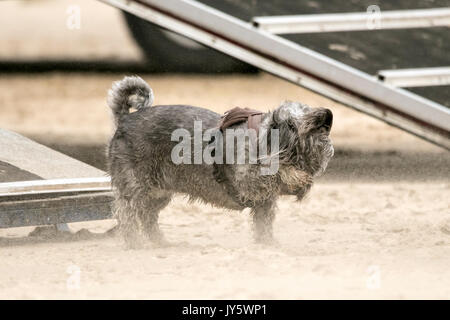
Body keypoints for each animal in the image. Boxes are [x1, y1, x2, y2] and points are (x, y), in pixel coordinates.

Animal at [104, 75, 330, 248]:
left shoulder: (265, 202)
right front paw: (294, 174)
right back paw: (135, 243)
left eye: (306, 109)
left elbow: (263, 226)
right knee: (127, 216)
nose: (326, 115)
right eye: (291, 123)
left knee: (147, 216)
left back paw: (160, 242)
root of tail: (125, 119)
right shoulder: (248, 182)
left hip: (158, 193)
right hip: (134, 188)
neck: (261, 139)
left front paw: (267, 244)